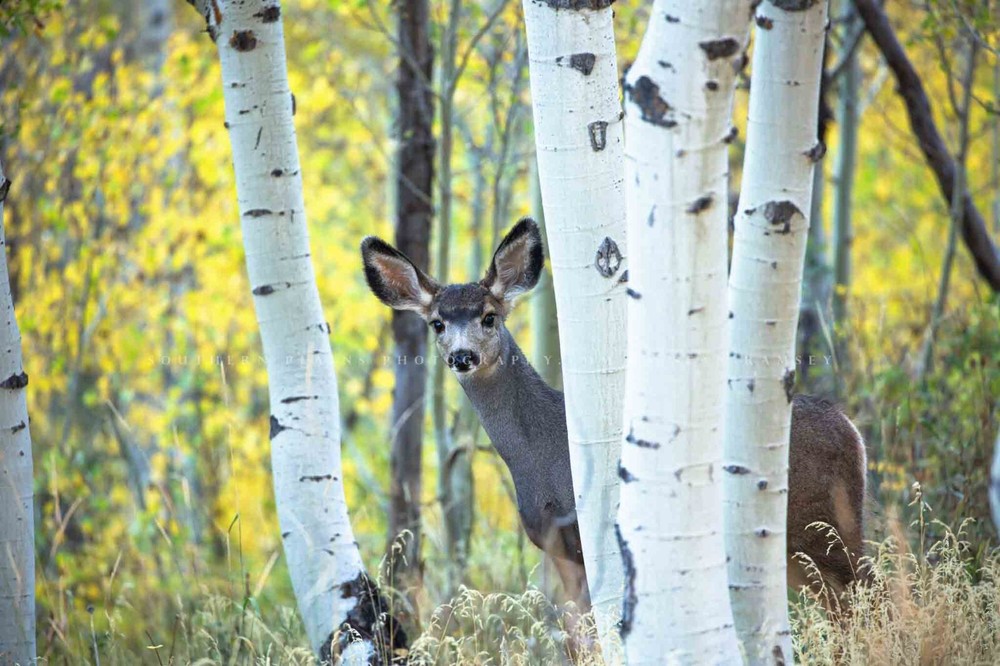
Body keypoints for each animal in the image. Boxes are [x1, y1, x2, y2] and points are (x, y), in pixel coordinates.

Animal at [361, 217, 868, 611]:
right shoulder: (556, 547)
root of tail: (851, 429)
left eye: (489, 316)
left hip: (822, 523)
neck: (542, 459)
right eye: (437, 324)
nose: (462, 356)